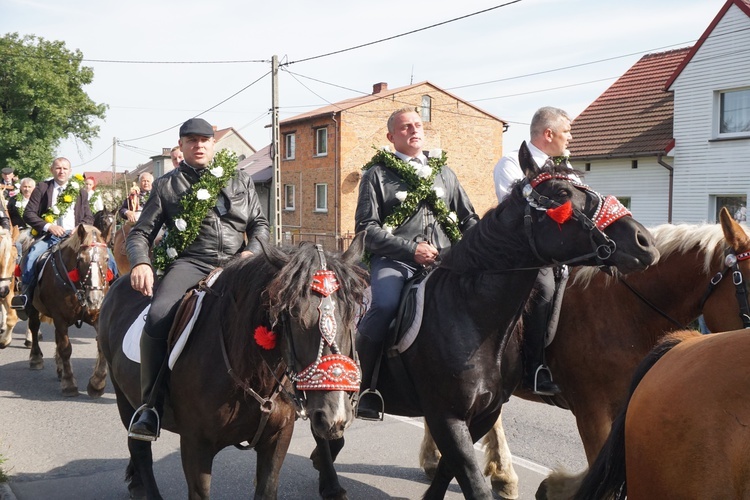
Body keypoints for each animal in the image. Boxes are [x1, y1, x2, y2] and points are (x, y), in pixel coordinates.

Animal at [26, 225, 111, 396]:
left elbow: (101, 345)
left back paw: (60, 369)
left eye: (106, 259)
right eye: (81, 260)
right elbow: (66, 348)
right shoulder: (60, 318)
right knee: (34, 327)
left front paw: (97, 384)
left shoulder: (96, 316)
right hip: (33, 307)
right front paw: (69, 383)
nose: (95, 299)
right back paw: (36, 358)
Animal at [98, 237, 368, 500]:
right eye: (293, 314)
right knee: (140, 448)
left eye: (351, 315)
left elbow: (266, 490)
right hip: (125, 399)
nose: (334, 416)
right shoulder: (195, 445)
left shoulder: (277, 438)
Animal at [320, 142, 660, 500]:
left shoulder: (485, 412)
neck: (470, 318)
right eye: (562, 192)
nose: (644, 241)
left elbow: (451, 469)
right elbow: (472, 479)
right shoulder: (447, 416)